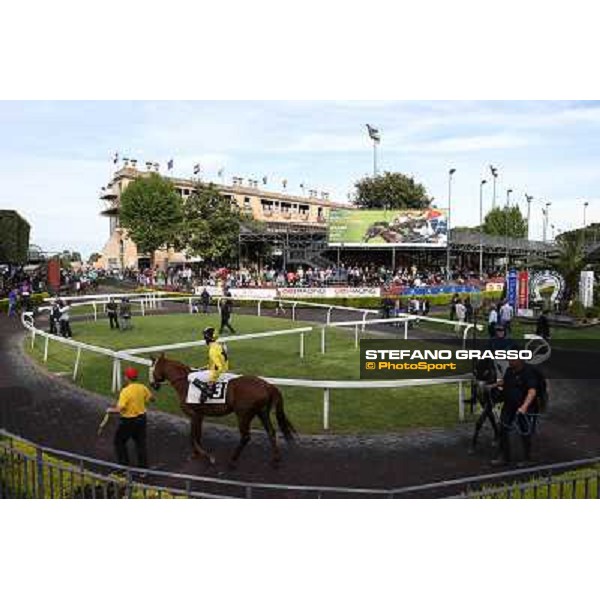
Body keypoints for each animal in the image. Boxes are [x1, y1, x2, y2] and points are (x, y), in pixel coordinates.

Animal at [146, 352, 294, 468]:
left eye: (151, 369)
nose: (153, 384)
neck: (185, 383)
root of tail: (266, 385)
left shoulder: (193, 414)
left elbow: (192, 436)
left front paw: (204, 455)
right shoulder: (199, 415)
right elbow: (197, 435)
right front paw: (198, 454)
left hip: (243, 415)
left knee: (246, 437)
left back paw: (233, 460)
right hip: (262, 412)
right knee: (271, 432)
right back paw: (276, 459)